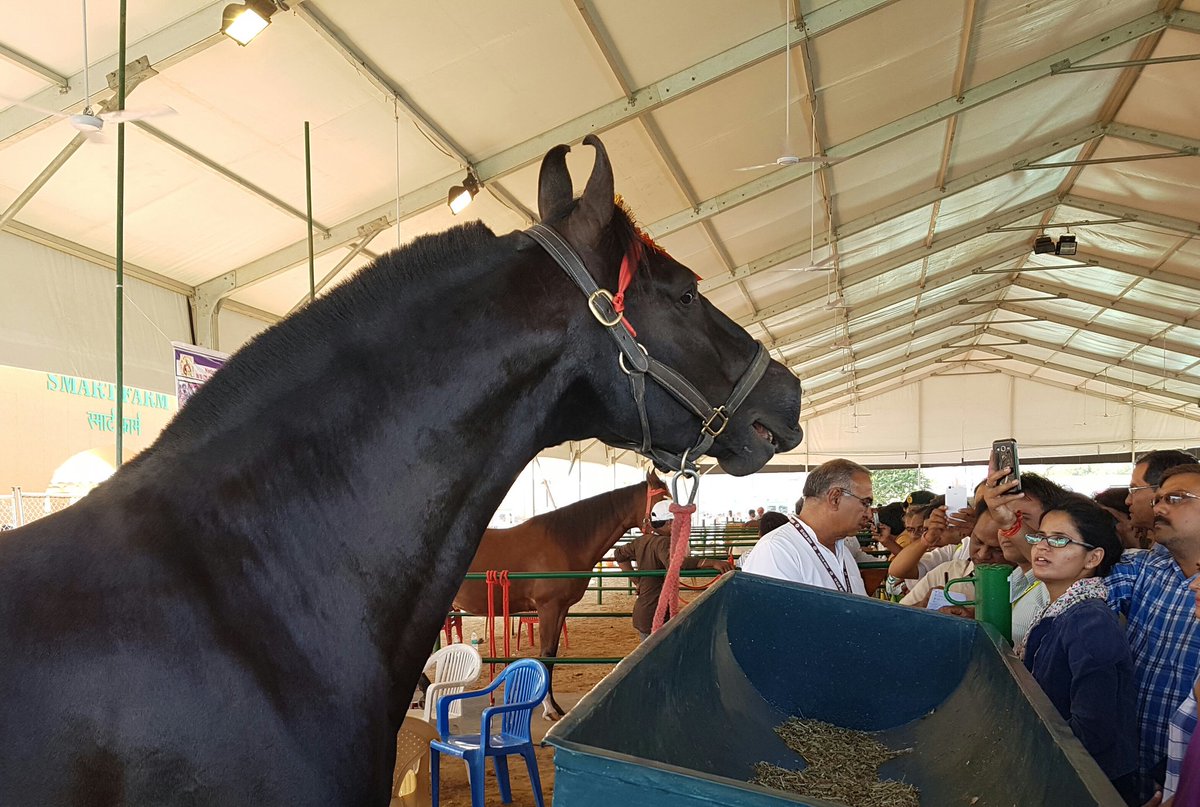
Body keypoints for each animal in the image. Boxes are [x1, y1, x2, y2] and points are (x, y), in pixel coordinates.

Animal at [455, 470, 668, 719]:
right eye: (662, 500)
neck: (564, 542)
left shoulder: (561, 609)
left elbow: (553, 655)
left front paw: (554, 706)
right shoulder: (548, 607)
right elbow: (546, 654)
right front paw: (549, 709)